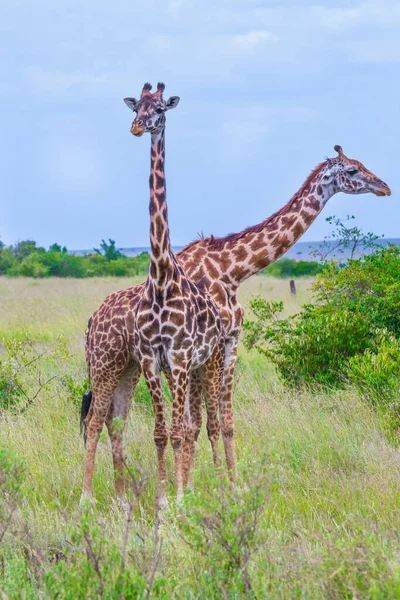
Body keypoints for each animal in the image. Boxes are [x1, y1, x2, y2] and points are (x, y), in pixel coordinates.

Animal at [81, 84, 225, 506]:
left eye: (159, 108)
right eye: (137, 107)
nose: (136, 127)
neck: (161, 277)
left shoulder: (177, 360)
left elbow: (177, 431)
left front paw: (176, 499)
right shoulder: (149, 360)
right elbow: (161, 433)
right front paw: (163, 497)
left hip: (204, 364)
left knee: (205, 423)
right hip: (110, 367)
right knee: (99, 421)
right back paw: (91, 497)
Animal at [81, 141, 390, 496]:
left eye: (361, 163)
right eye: (352, 170)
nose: (384, 187)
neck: (232, 270)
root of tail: (90, 322)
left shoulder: (222, 344)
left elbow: (217, 423)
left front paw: (222, 485)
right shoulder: (210, 349)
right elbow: (204, 424)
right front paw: (211, 488)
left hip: (129, 370)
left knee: (114, 422)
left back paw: (121, 496)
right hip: (106, 364)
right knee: (94, 421)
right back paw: (88, 497)